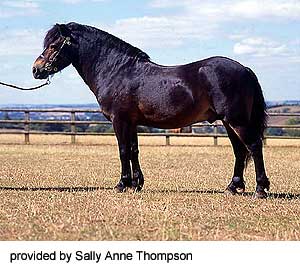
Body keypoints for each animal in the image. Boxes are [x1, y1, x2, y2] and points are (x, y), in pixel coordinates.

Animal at [32, 22, 270, 198]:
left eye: (53, 45)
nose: (36, 69)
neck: (117, 71)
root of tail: (245, 69)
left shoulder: (119, 120)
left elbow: (123, 151)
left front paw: (122, 184)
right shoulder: (131, 122)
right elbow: (133, 150)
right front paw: (136, 184)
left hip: (237, 120)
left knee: (254, 147)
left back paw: (260, 189)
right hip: (228, 122)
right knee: (240, 151)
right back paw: (233, 187)